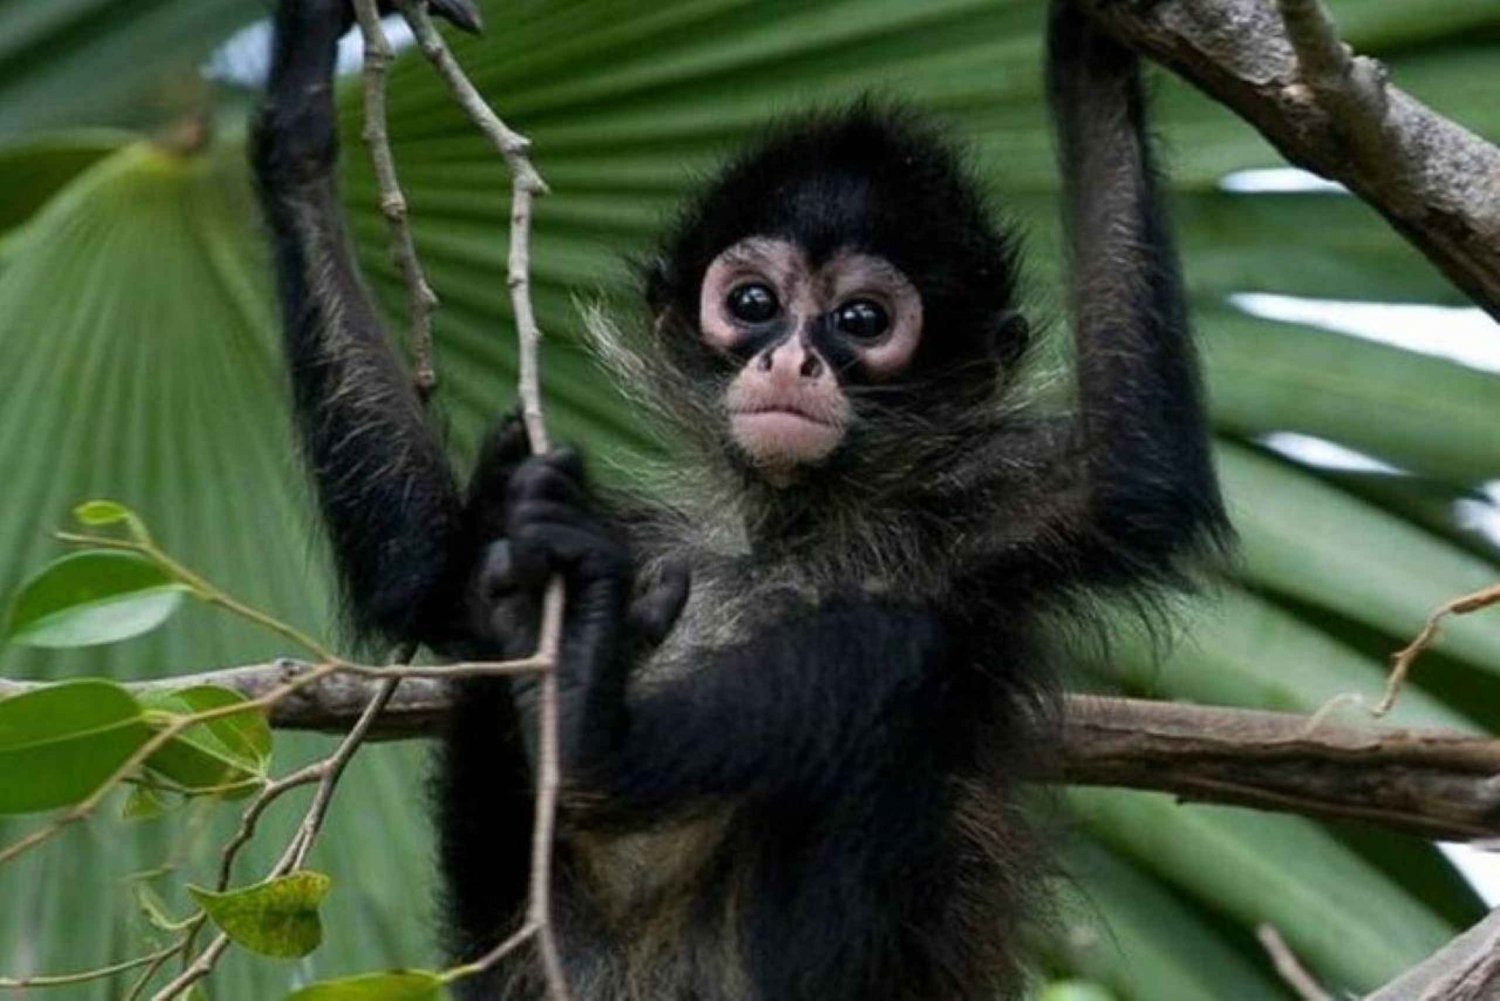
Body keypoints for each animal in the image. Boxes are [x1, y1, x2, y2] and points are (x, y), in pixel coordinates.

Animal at [252, 1, 1224, 1001]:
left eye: (863, 321)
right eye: (754, 302)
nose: (792, 359)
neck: (783, 531)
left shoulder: (980, 523)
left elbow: (1133, 475)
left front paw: (1099, 49)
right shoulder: (659, 532)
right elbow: (428, 576)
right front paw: (298, 114)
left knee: (898, 644)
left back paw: (589, 725)